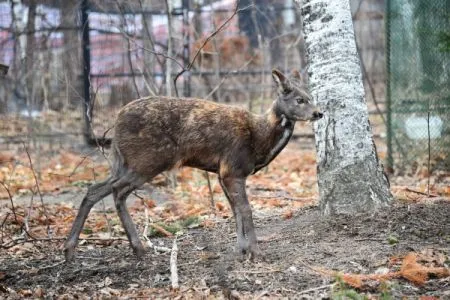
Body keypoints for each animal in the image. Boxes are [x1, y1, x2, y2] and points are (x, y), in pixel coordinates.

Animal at [64, 69, 324, 262]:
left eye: (311, 97)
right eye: (299, 99)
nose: (318, 113)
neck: (259, 139)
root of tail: (116, 121)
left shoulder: (221, 173)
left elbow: (234, 210)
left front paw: (240, 249)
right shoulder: (233, 167)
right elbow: (245, 209)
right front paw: (255, 252)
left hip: (126, 162)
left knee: (96, 189)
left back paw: (76, 249)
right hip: (148, 161)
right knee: (116, 190)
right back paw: (132, 247)